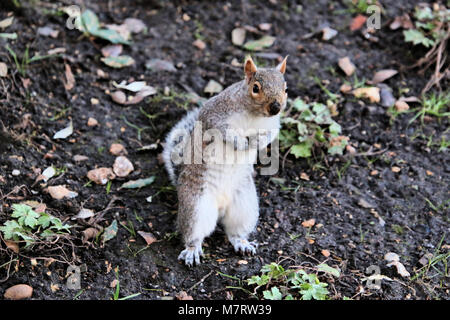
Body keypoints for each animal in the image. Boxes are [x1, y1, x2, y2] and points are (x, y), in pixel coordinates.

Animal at [163, 57, 288, 264]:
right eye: (255, 88)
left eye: (285, 88)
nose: (276, 107)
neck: (254, 115)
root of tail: (221, 206)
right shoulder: (215, 113)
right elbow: (224, 131)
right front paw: (240, 142)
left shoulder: (272, 124)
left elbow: (269, 135)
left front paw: (256, 142)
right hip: (195, 206)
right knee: (193, 233)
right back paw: (192, 250)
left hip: (245, 206)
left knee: (235, 232)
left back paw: (242, 243)